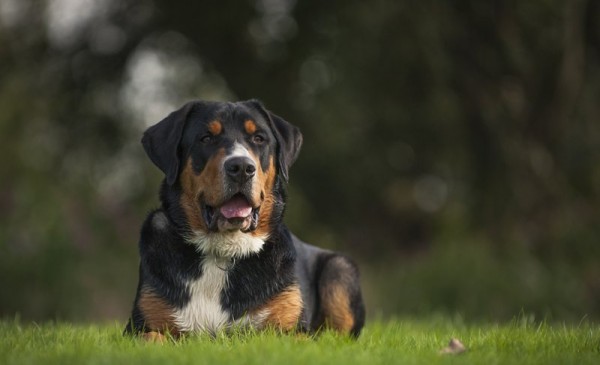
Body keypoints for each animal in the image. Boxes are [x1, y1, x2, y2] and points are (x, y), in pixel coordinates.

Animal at [124, 99, 364, 338]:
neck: (223, 251)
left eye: (258, 138)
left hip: (339, 269)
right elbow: (152, 336)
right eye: (206, 138)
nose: (241, 167)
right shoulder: (143, 323)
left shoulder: (294, 329)